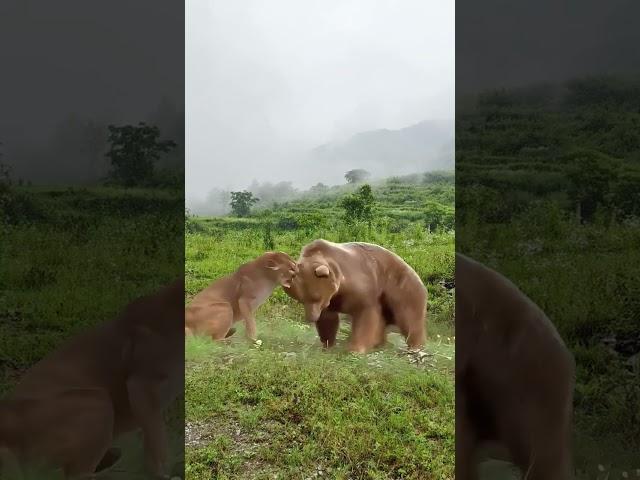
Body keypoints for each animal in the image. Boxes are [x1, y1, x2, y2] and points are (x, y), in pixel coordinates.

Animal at [284, 239, 424, 352]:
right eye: (301, 300)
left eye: (315, 297)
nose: (311, 318)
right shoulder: (332, 299)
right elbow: (328, 320)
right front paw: (327, 345)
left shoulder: (362, 285)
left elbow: (365, 315)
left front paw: (355, 349)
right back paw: (378, 344)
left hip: (402, 288)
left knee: (409, 319)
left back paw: (415, 347)